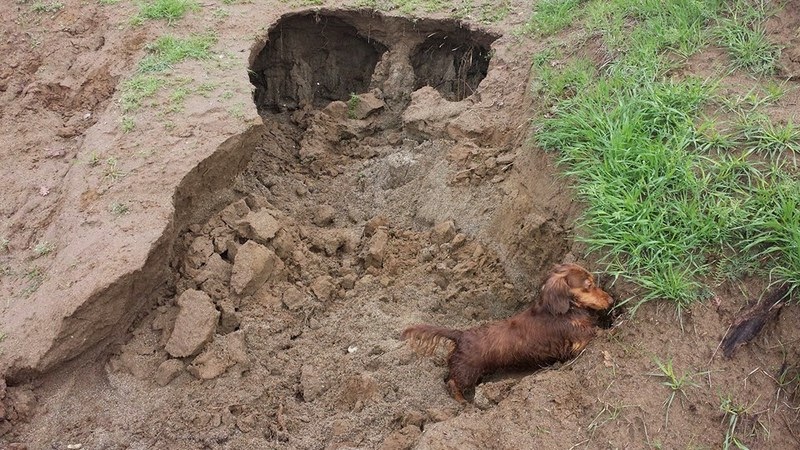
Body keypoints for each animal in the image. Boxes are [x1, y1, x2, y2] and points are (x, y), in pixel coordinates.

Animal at [401, 263, 614, 403]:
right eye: (588, 285)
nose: (611, 300)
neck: (565, 310)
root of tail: (460, 335)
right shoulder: (580, 338)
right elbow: (594, 334)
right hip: (466, 373)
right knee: (453, 384)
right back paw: (462, 402)